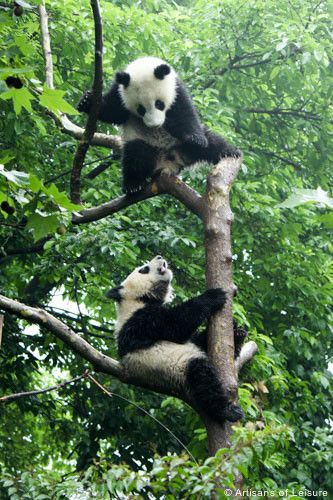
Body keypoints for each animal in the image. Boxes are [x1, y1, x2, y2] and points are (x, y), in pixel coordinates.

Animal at [76, 56, 240, 193]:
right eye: (141, 109)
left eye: (159, 104)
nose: (154, 125)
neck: (142, 65)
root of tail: (171, 161)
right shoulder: (119, 92)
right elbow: (113, 111)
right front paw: (86, 101)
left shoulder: (176, 89)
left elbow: (185, 115)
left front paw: (195, 138)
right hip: (143, 142)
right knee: (135, 156)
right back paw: (133, 184)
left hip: (182, 143)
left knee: (211, 142)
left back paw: (229, 151)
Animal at [107, 256, 244, 424]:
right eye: (144, 269)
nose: (159, 257)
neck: (138, 300)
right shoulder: (140, 322)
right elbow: (176, 324)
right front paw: (213, 295)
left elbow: (197, 341)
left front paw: (235, 327)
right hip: (172, 368)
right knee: (202, 376)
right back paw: (228, 411)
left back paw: (239, 337)